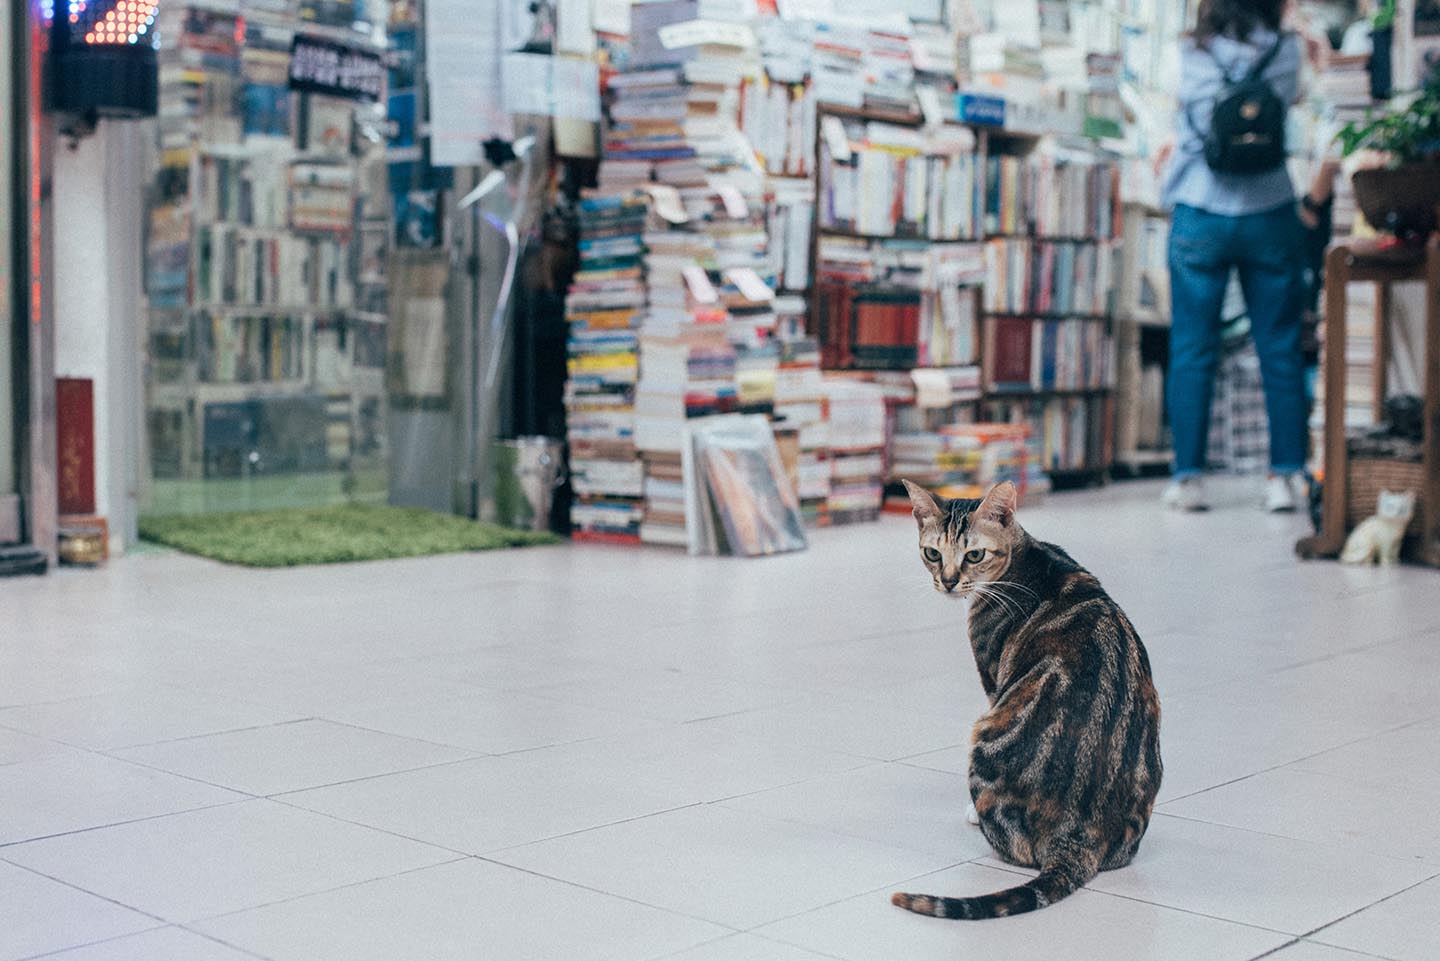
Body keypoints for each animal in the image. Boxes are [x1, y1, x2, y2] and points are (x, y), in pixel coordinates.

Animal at [891, 479, 1163, 920]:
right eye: (933, 553)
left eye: (974, 554)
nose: (947, 581)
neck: (1025, 556)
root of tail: (1077, 836)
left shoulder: (992, 679)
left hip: (986, 733)